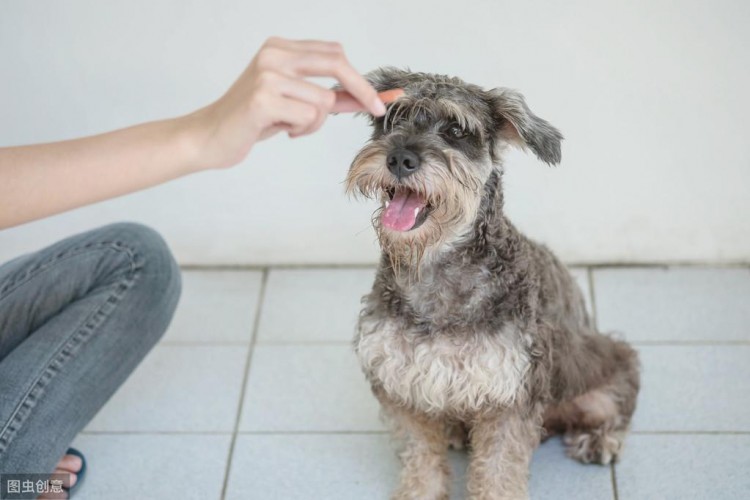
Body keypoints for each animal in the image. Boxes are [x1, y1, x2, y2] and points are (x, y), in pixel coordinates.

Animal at [350, 67, 644, 500]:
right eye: (391, 119)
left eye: (456, 130)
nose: (400, 158)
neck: (436, 268)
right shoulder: (401, 381)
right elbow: (420, 456)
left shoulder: (509, 393)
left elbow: (497, 470)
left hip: (604, 366)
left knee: (614, 405)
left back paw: (600, 439)